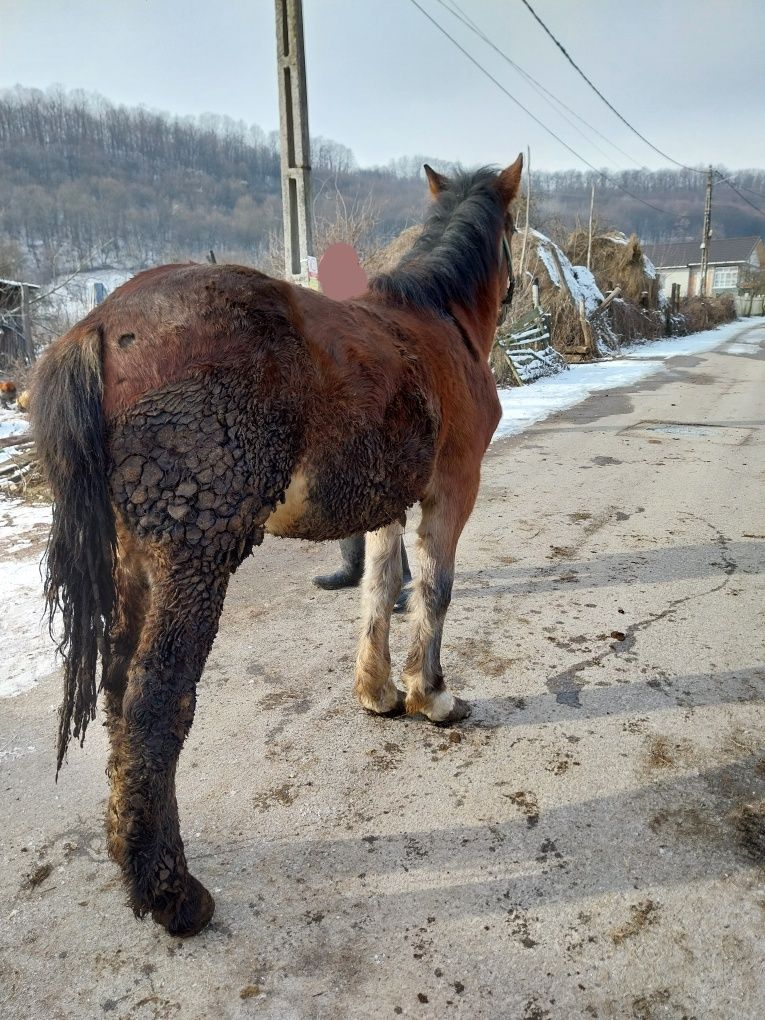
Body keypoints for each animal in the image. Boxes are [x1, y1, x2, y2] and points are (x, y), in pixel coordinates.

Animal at [29, 157, 522, 934]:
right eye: (511, 234)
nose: (517, 288)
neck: (436, 323)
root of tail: (99, 326)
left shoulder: (384, 502)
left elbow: (380, 588)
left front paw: (378, 691)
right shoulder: (453, 487)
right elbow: (434, 591)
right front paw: (431, 695)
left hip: (135, 559)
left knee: (116, 683)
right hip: (195, 558)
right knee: (153, 700)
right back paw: (171, 892)